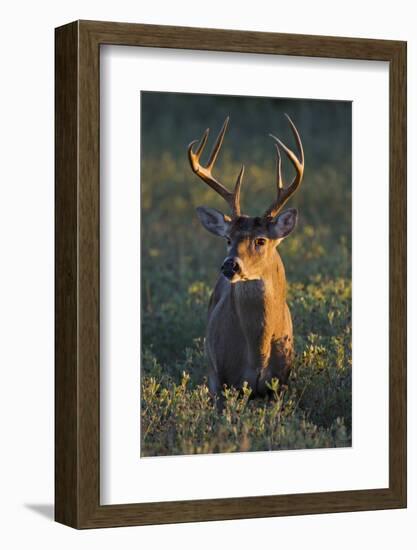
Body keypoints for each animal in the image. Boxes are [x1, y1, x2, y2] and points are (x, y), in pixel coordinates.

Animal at [187, 115, 304, 406]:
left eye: (260, 240)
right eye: (228, 239)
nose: (230, 265)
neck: (257, 353)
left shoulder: (280, 383)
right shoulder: (223, 379)